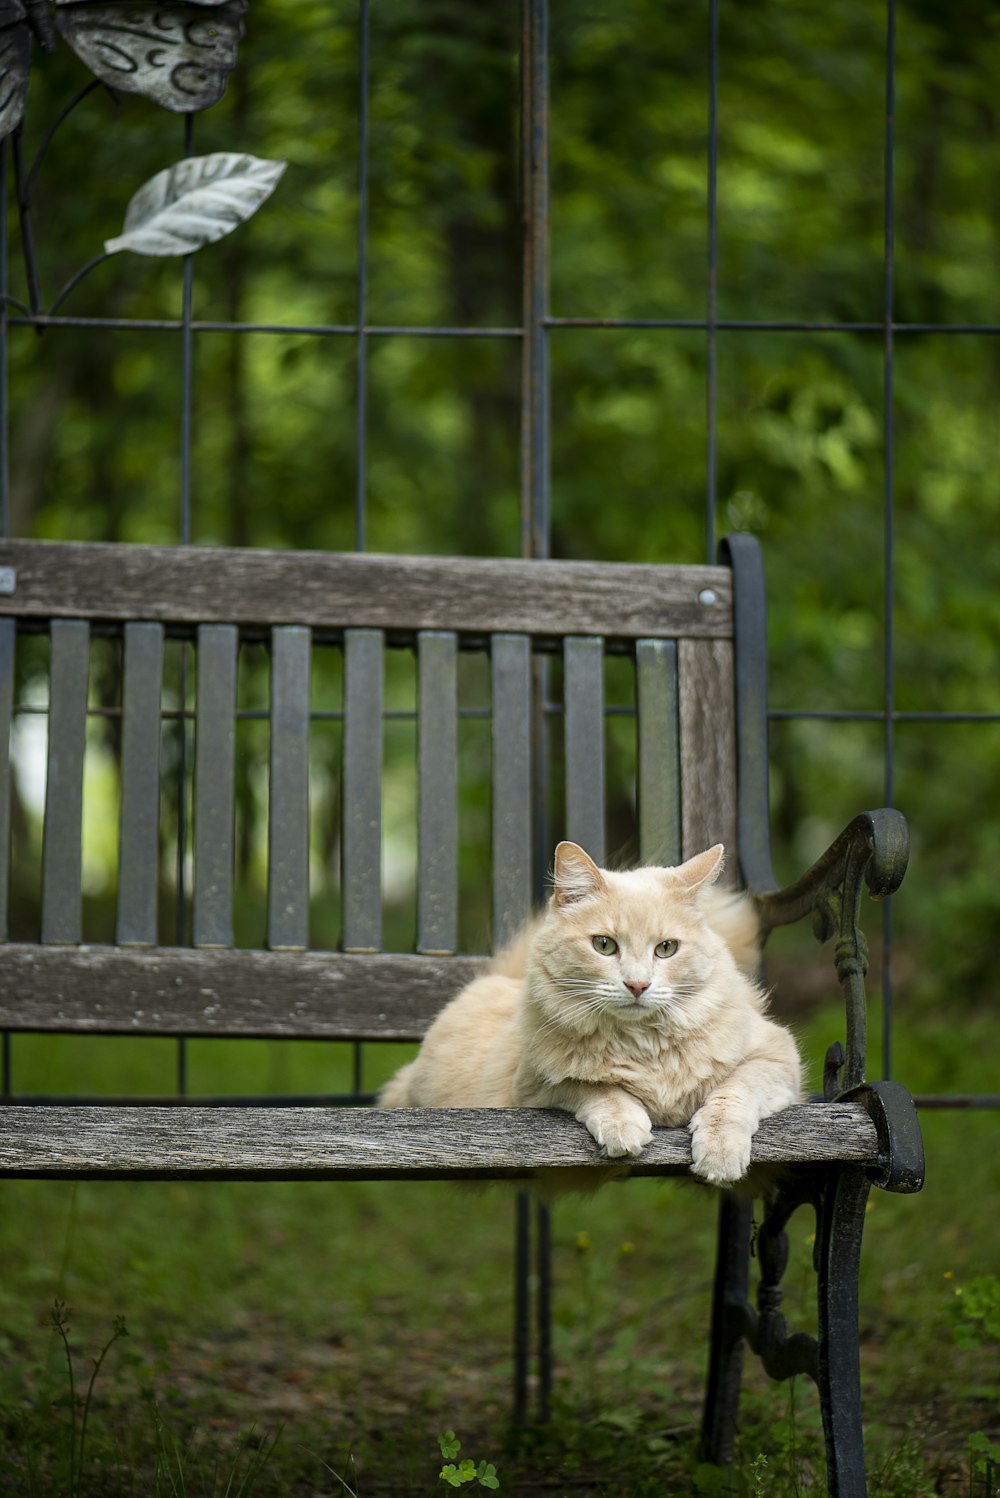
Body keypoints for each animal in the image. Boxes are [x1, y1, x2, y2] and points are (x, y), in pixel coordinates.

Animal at [377, 844, 802, 1180]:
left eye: (666, 948)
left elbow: (733, 1095)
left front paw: (719, 1154)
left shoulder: (777, 1059)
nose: (637, 985)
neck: (644, 1047)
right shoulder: (535, 1086)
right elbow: (598, 1088)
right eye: (604, 945)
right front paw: (624, 1127)